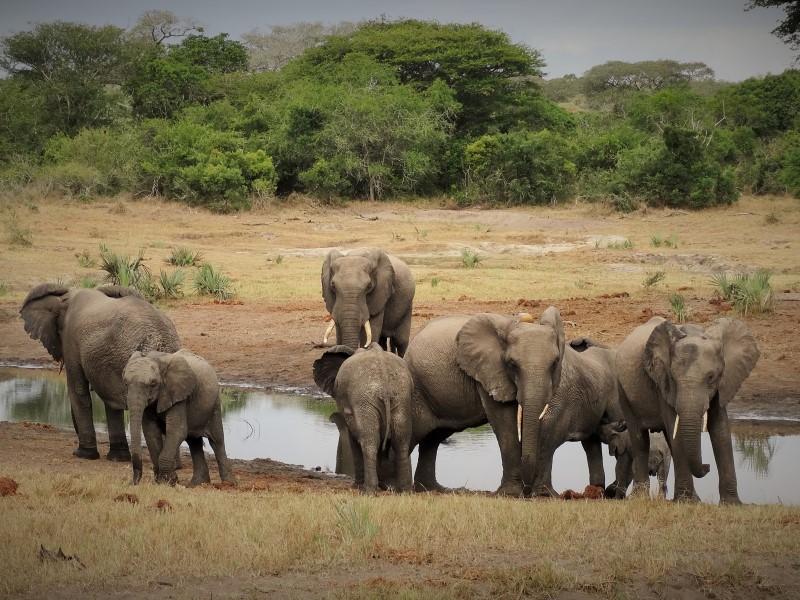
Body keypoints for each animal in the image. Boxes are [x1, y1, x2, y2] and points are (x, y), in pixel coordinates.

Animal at [121, 350, 234, 486]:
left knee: (216, 441)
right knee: (194, 442)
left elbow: (177, 431)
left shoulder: (178, 395)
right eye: (125, 383)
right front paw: (162, 481)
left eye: (153, 384)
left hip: (214, 403)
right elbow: (151, 432)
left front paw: (167, 481)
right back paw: (197, 484)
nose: (134, 483)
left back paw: (229, 484)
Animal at [312, 340, 412, 494]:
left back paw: (368, 491)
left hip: (364, 400)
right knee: (401, 442)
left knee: (369, 442)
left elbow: (353, 440)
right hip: (402, 398)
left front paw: (356, 486)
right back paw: (405, 491)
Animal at [616, 316, 760, 504]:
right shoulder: (662, 382)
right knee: (640, 440)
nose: (707, 466)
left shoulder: (723, 384)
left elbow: (721, 430)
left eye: (711, 377)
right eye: (673, 377)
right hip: (622, 389)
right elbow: (676, 432)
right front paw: (686, 501)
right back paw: (639, 497)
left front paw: (732, 504)